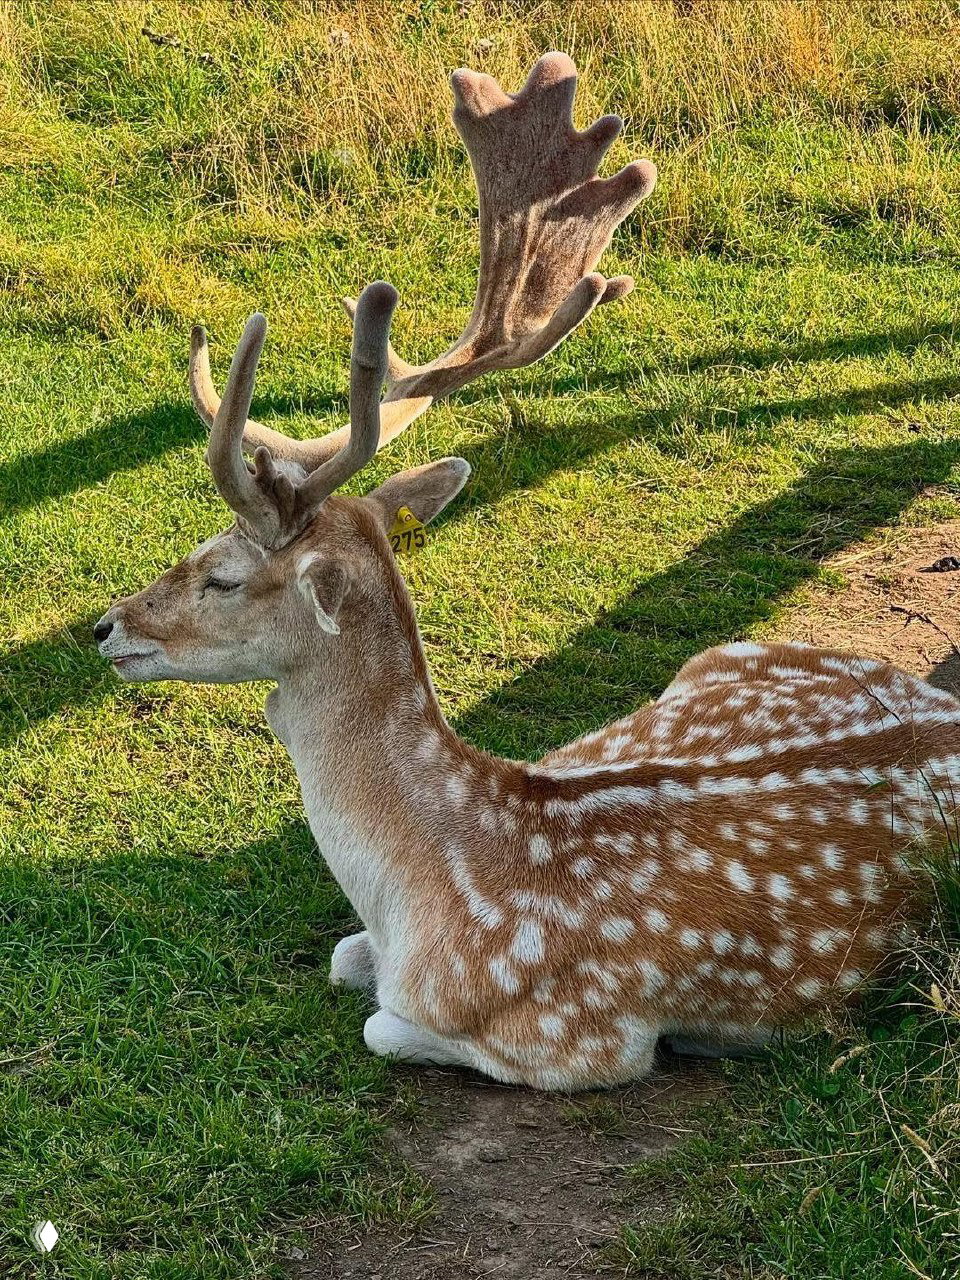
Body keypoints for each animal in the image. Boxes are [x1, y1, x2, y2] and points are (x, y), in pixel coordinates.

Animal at [93, 56, 960, 1091]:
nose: (106, 627)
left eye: (223, 575)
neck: (426, 891)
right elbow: (344, 957)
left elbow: (382, 1024)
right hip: (729, 649)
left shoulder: (582, 1041)